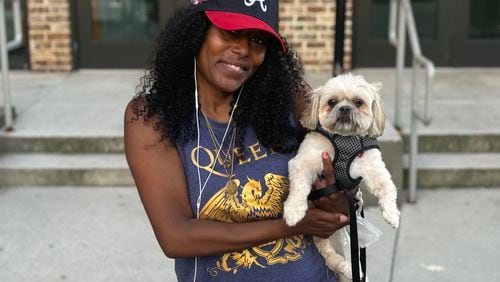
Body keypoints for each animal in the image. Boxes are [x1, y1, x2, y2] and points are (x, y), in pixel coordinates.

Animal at [284, 72, 400, 280]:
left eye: (358, 102)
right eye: (332, 102)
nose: (344, 108)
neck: (344, 139)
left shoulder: (373, 168)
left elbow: (388, 188)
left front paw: (392, 214)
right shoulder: (303, 163)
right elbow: (298, 189)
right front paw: (293, 211)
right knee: (332, 257)